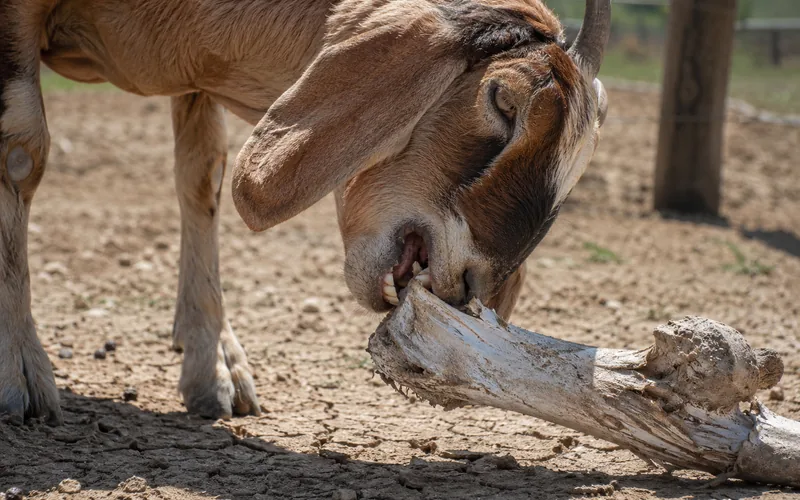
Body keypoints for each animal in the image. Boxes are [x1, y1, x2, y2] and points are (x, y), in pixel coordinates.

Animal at [0, 0, 610, 425]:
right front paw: (20, 373)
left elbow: (202, 174)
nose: (473, 285)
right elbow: (22, 151)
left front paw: (215, 370)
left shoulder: (195, 69)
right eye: (503, 99)